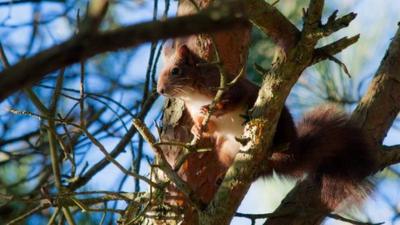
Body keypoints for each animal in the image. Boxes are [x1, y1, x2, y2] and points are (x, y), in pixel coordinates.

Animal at [156, 43, 378, 208]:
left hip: (280, 125)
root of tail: (291, 155)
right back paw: (223, 177)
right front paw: (197, 129)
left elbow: (233, 99)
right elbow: (209, 128)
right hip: (225, 149)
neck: (193, 96)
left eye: (175, 71)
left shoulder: (231, 86)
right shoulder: (195, 112)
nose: (159, 90)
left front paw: (216, 108)